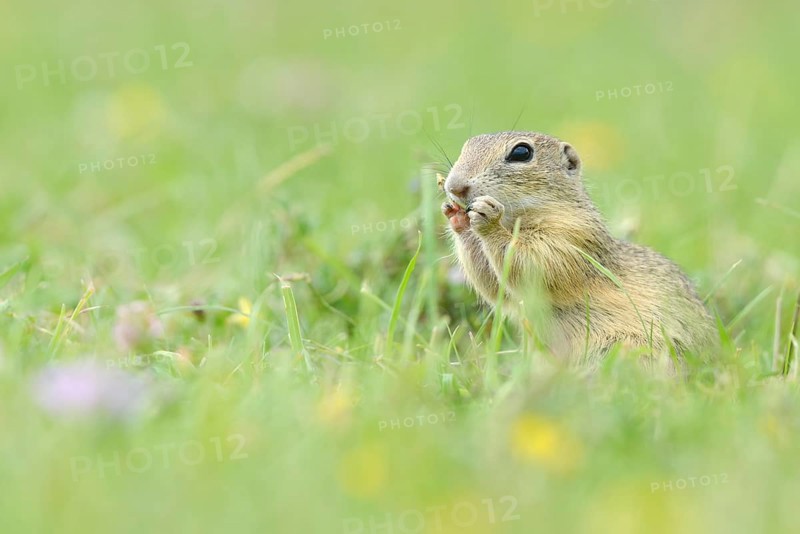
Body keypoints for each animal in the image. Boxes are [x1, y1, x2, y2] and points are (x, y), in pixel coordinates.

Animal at [440, 131, 716, 360]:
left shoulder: (572, 238)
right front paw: (457, 217)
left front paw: (489, 219)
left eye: (521, 153)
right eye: (466, 146)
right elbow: (494, 286)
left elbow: (534, 263)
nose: (454, 186)